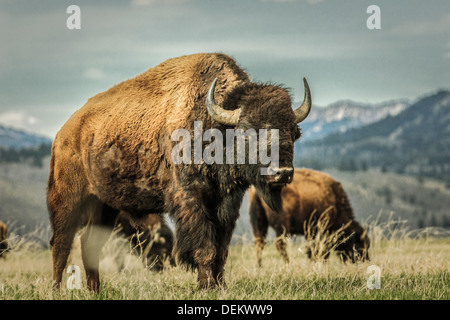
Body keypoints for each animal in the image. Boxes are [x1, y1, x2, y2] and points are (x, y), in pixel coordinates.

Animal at [47, 53, 312, 292]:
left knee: (89, 243)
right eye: (247, 130)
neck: (216, 127)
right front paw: (206, 288)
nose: (282, 173)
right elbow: (205, 248)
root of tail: (64, 133)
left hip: (106, 205)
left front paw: (221, 286)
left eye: (293, 131)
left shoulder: (227, 204)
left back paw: (95, 290)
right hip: (68, 201)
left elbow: (221, 249)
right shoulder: (192, 199)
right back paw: (56, 290)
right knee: (61, 244)